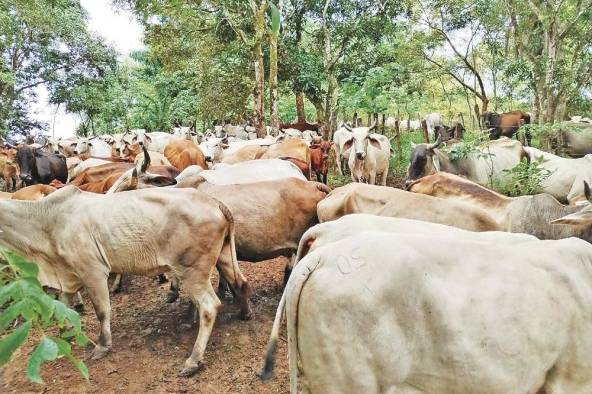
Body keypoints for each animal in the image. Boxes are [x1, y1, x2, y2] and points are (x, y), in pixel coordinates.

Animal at [0, 186, 252, 378]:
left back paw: (193, 360)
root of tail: (213, 201)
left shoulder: (93, 272)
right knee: (241, 284)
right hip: (222, 257)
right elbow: (62, 308)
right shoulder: (69, 277)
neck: (46, 221)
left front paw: (102, 345)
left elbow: (102, 311)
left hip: (192, 270)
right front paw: (64, 337)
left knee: (210, 305)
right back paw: (243, 314)